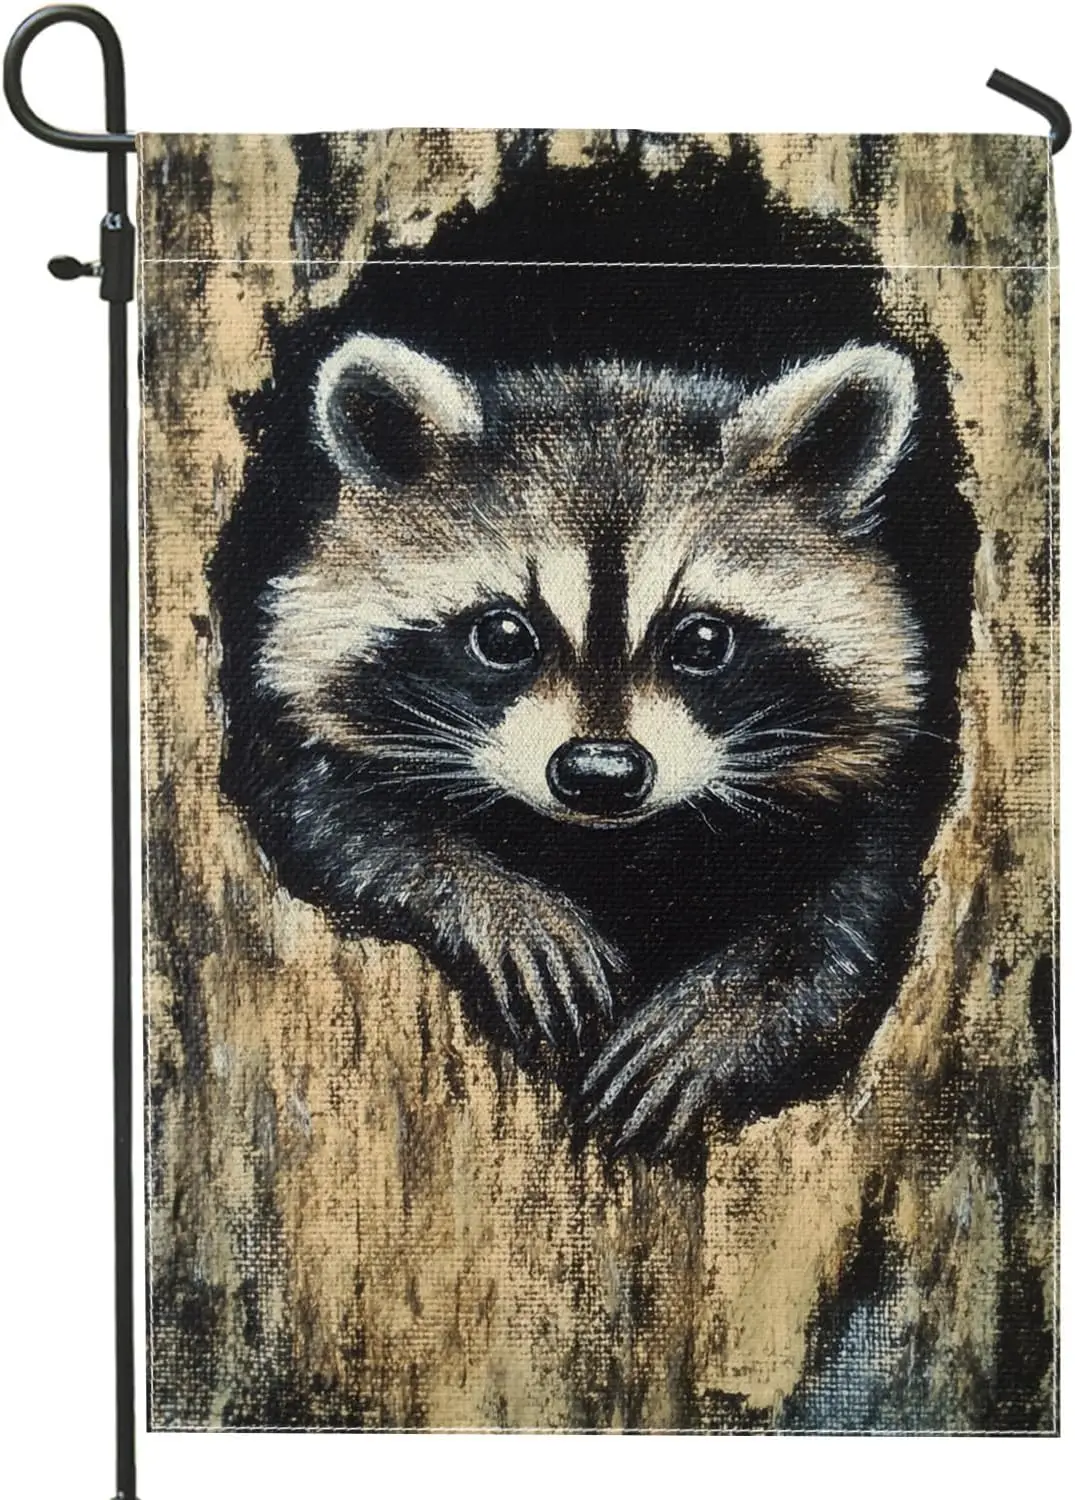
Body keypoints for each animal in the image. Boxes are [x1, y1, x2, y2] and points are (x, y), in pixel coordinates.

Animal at [225, 325, 946, 1156]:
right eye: (503, 635)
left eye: (702, 640)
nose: (600, 772)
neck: (604, 845)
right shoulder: (293, 738)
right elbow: (331, 816)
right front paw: (494, 899)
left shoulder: (866, 795)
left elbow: (842, 926)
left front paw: (722, 1015)